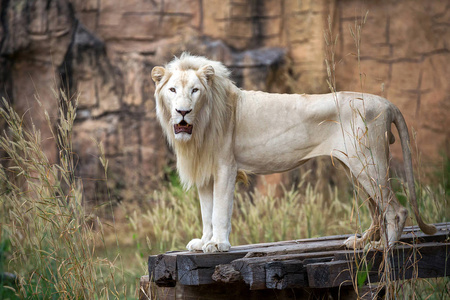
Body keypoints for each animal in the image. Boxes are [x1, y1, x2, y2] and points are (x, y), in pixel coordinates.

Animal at [151, 52, 436, 253]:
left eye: (195, 90)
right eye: (173, 90)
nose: (183, 112)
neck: (200, 126)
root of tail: (387, 103)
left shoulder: (225, 167)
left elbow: (220, 210)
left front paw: (218, 244)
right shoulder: (205, 170)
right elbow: (206, 212)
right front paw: (204, 241)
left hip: (368, 162)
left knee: (395, 210)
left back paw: (384, 247)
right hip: (355, 168)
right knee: (377, 212)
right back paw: (361, 242)